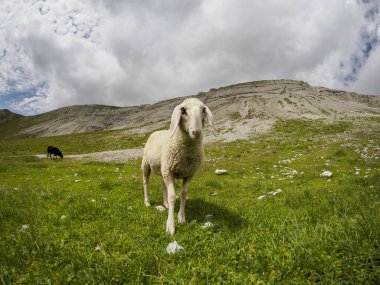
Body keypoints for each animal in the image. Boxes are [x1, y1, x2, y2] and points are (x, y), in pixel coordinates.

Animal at [142, 97, 215, 233]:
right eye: (183, 110)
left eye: (203, 109)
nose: (196, 132)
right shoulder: (169, 172)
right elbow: (172, 196)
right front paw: (170, 225)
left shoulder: (189, 174)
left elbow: (183, 194)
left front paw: (181, 217)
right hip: (146, 164)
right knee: (145, 183)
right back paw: (147, 202)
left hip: (163, 169)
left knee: (163, 185)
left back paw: (165, 203)